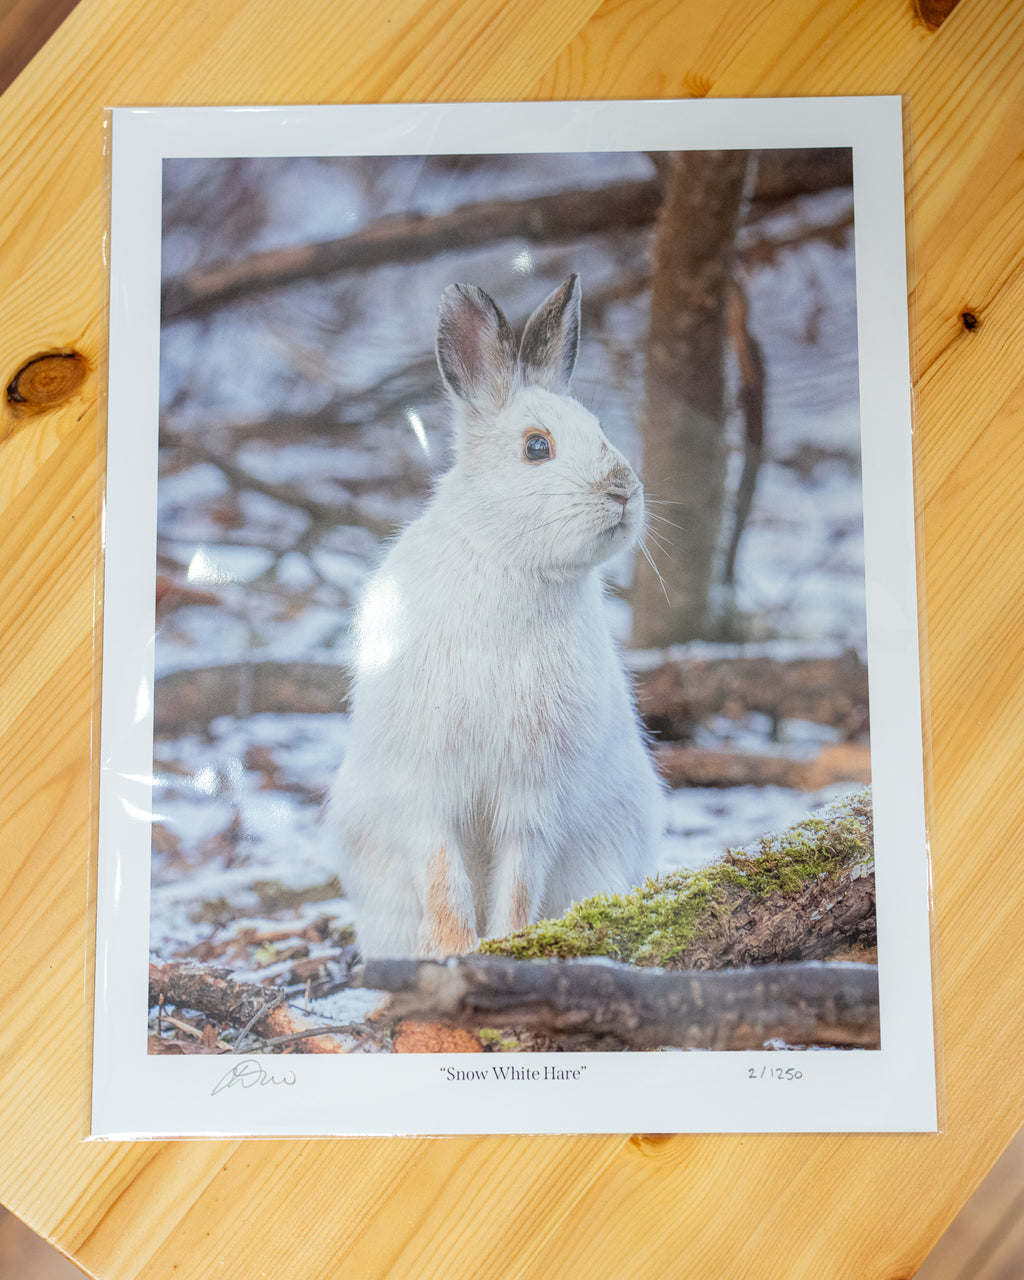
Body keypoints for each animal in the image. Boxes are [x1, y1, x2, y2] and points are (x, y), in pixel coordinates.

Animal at [328, 273, 664, 959]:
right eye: (537, 447)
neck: (514, 566)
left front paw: (506, 945)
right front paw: (453, 951)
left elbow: (518, 879)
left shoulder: (533, 797)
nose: (624, 489)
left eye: (600, 428)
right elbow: (442, 874)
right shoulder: (427, 784)